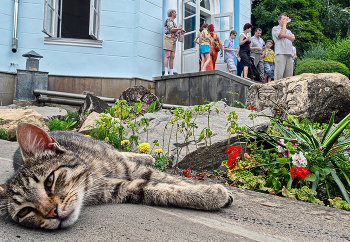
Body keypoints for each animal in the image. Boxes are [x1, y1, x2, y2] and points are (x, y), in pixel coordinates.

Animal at [0, 123, 232, 229]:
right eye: (25, 212)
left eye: (50, 181)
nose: (51, 213)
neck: (93, 176)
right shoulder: (121, 188)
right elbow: (159, 189)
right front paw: (211, 194)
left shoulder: (129, 169)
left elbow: (172, 180)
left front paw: (214, 192)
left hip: (111, 152)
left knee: (121, 151)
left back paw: (147, 155)